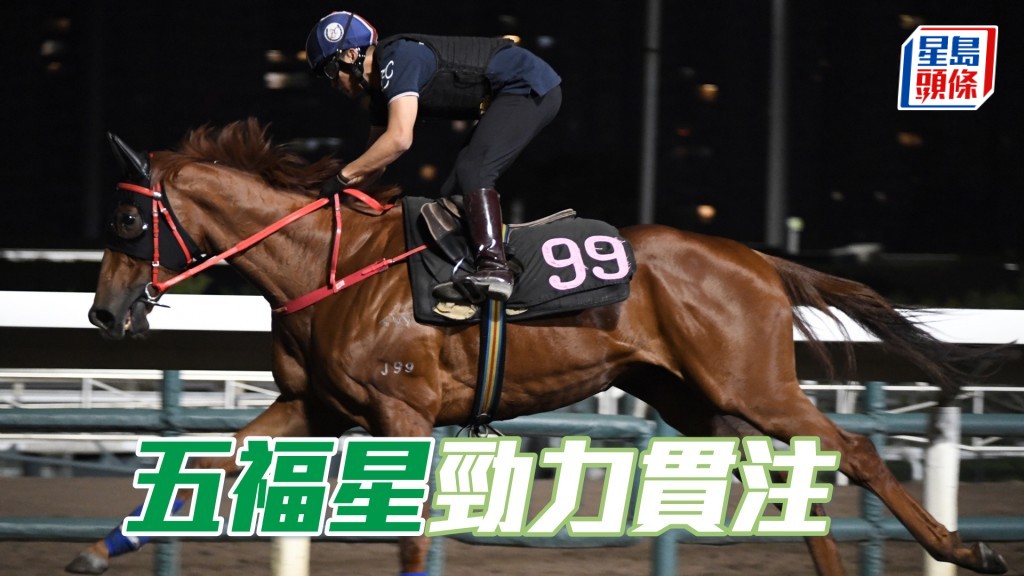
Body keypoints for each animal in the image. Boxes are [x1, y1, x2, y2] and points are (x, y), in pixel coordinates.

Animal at [69, 118, 1009, 575]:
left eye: (125, 221)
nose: (104, 316)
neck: (326, 269)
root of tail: (755, 259)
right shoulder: (314, 405)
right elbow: (218, 459)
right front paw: (96, 550)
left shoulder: (402, 413)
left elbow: (408, 534)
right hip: (697, 400)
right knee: (797, 480)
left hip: (752, 385)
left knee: (855, 452)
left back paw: (965, 549)